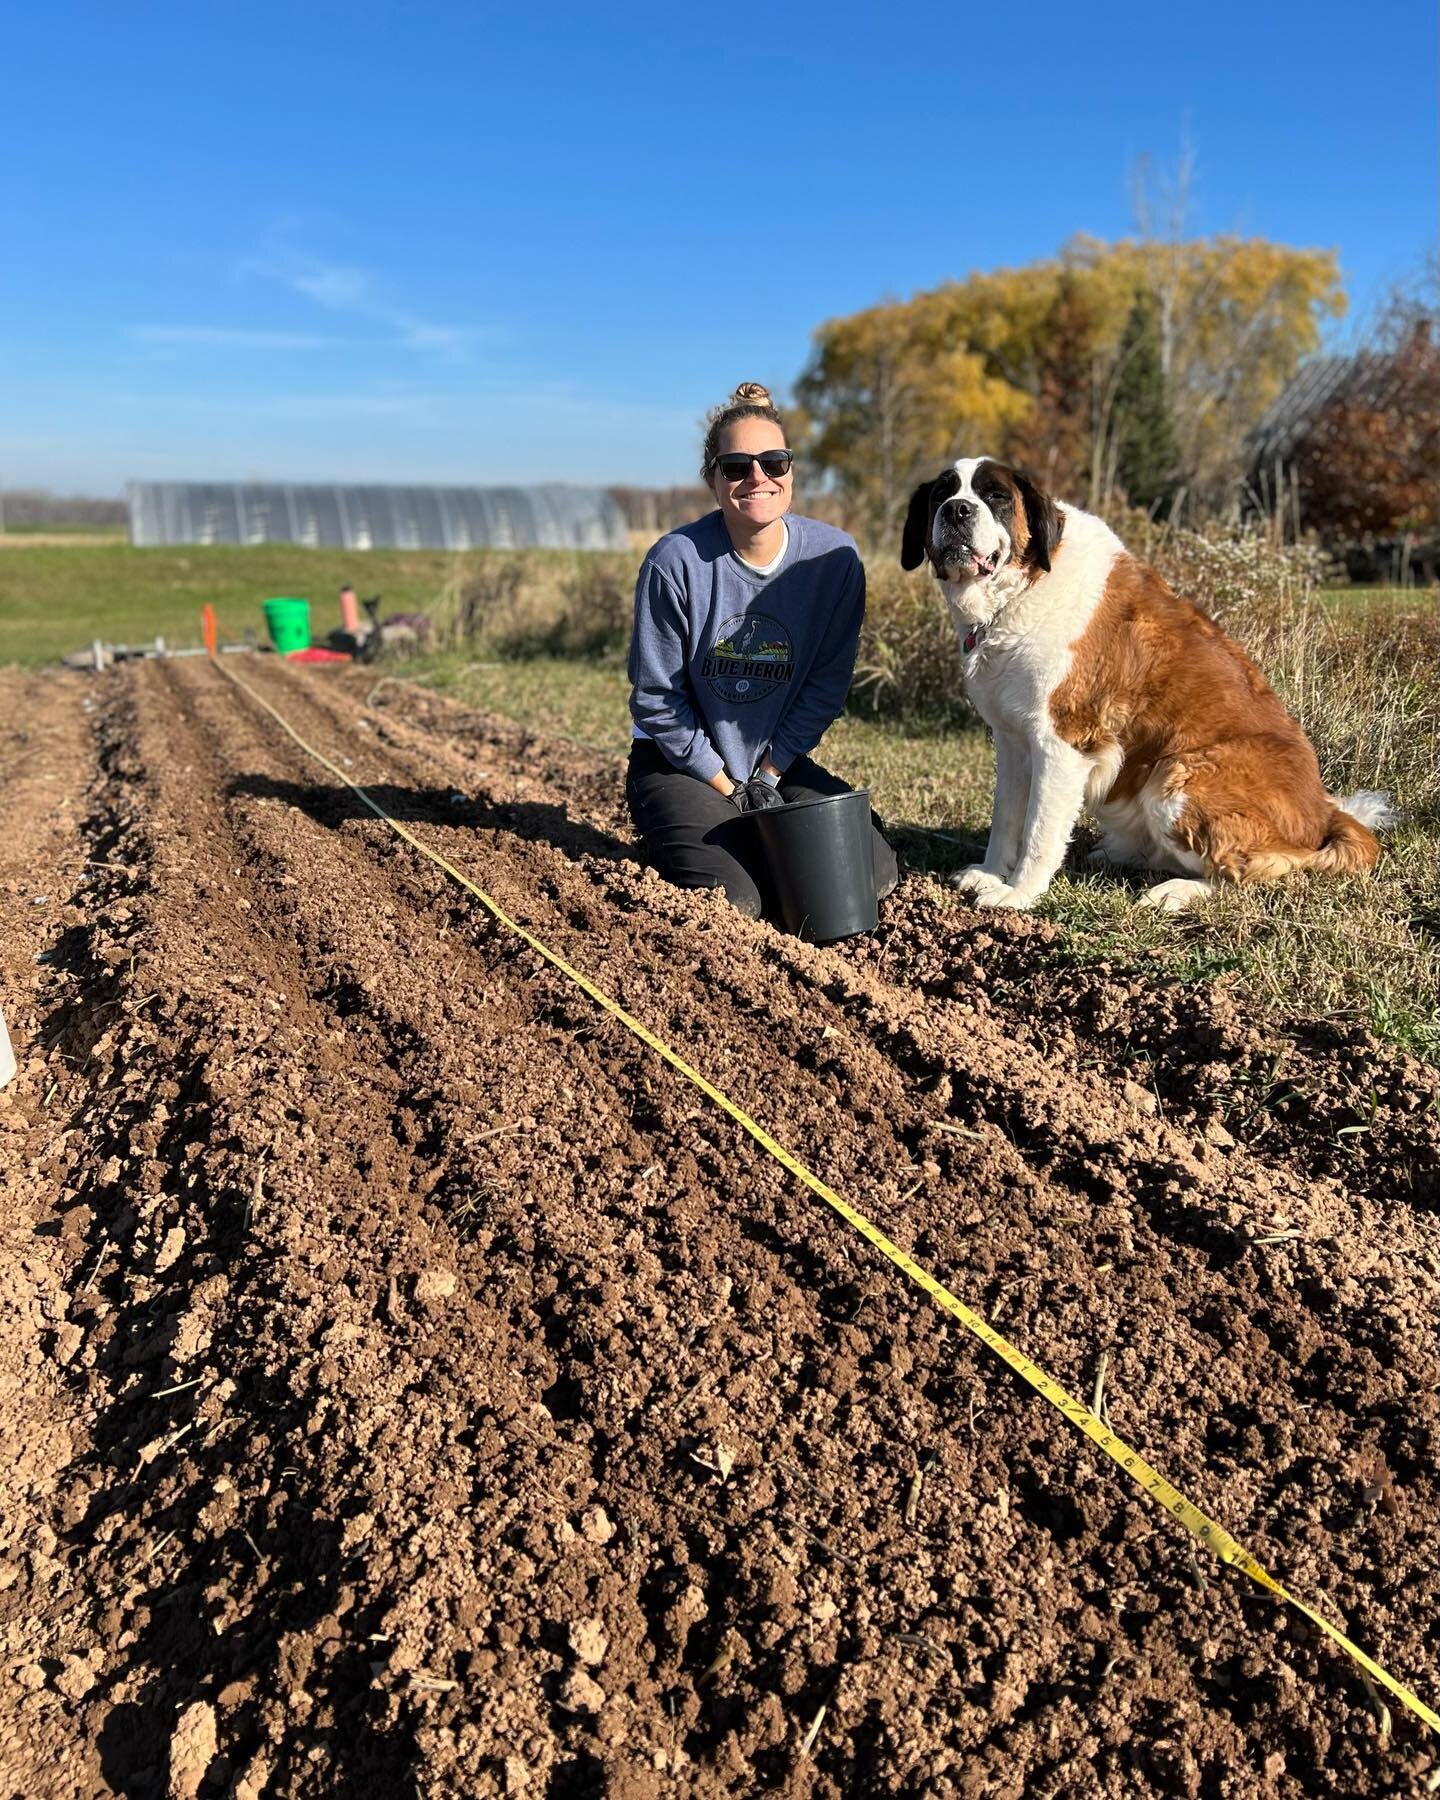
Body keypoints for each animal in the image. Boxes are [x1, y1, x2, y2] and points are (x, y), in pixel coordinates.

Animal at [900, 460, 1396, 914]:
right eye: (941, 494)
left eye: (996, 497)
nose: (958, 509)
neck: (1023, 588)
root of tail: (1326, 811)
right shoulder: (1012, 741)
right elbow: (1006, 818)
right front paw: (989, 873)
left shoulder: (1063, 744)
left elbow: (1039, 831)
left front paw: (1018, 894)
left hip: (1175, 777)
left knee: (1248, 871)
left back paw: (1176, 891)